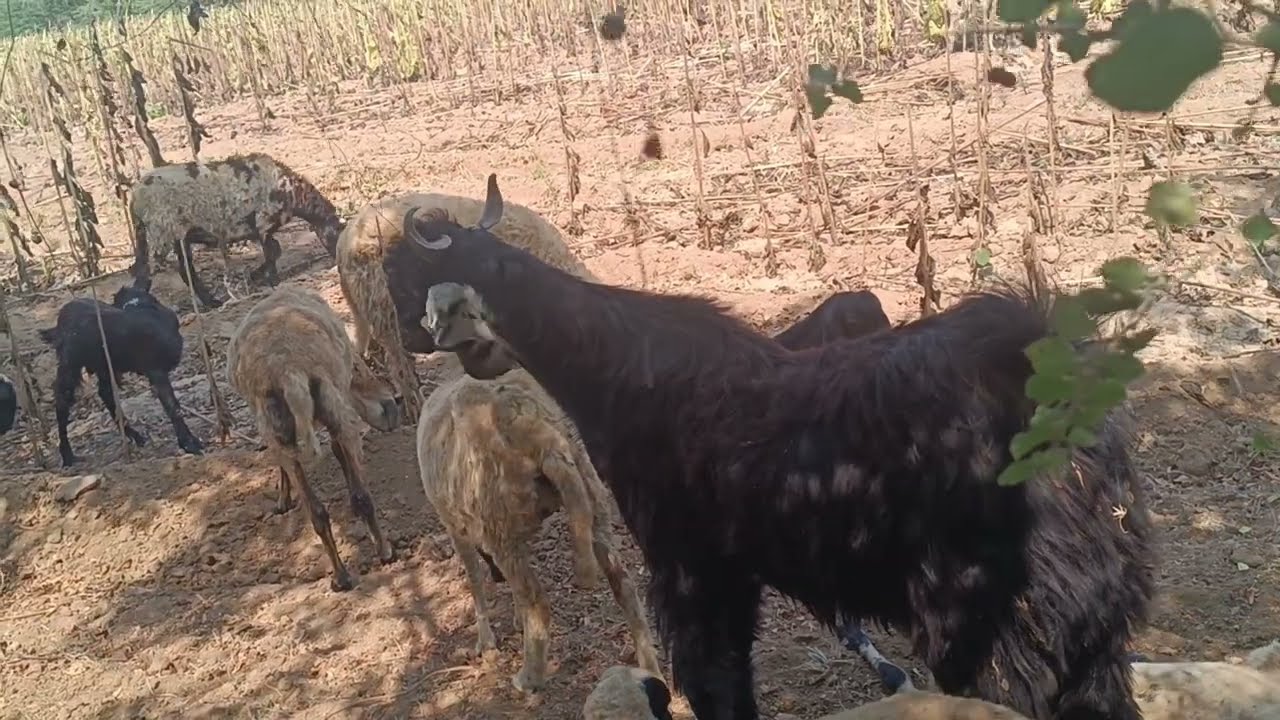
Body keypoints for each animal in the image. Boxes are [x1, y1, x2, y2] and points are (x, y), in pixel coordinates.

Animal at [39, 282, 203, 467]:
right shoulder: (156, 370)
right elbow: (173, 407)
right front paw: (190, 443)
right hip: (70, 366)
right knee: (62, 403)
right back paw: (67, 455)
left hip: (104, 366)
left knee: (105, 393)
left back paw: (133, 435)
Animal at [128, 152, 344, 310]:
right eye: (338, 234)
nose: (338, 260)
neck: (292, 192)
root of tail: (134, 196)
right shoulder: (263, 223)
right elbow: (272, 252)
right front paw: (271, 279)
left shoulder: (263, 229)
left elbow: (274, 251)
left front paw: (256, 275)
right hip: (160, 233)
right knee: (148, 271)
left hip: (176, 237)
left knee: (178, 270)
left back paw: (212, 302)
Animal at [226, 285, 401, 591]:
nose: (393, 412)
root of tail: (288, 371)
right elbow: (337, 452)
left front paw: (282, 500)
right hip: (322, 410)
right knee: (343, 503)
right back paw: (372, 557)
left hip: (285, 421)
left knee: (323, 505)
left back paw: (350, 571)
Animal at [414, 355, 661, 691]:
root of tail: (538, 432)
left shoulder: (455, 526)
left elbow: (475, 578)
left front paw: (485, 641)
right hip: (592, 498)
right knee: (623, 585)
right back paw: (651, 670)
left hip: (500, 526)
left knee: (538, 603)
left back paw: (528, 677)